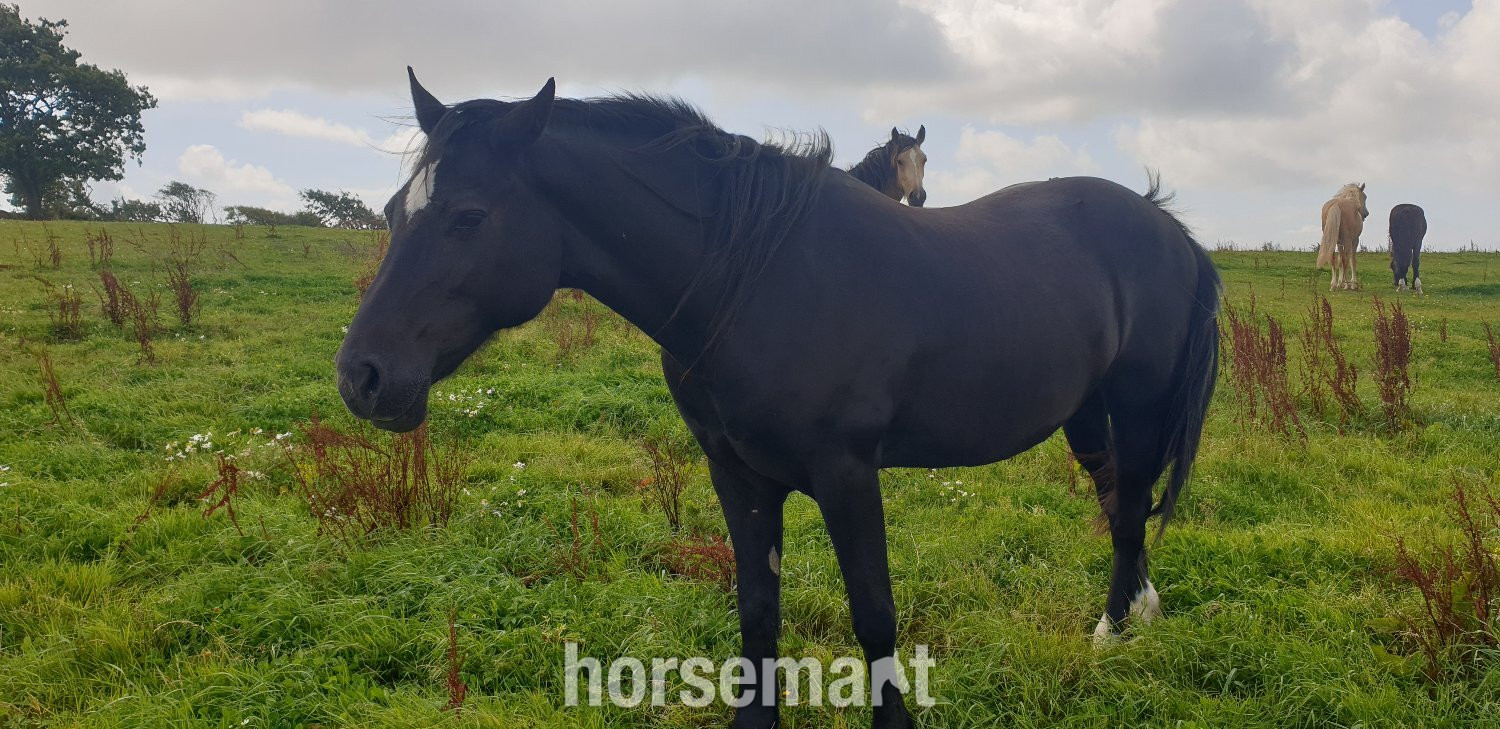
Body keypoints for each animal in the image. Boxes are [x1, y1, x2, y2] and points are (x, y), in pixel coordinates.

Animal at [337, 70, 1221, 729]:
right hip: (1087, 414)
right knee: (1117, 501)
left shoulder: (846, 473)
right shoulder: (738, 472)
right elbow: (758, 609)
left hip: (1139, 407)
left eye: (468, 216)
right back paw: (1129, 615)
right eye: (393, 210)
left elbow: (875, 614)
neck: (751, 277)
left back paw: (1116, 631)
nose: (361, 376)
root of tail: (1169, 228)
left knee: (1132, 505)